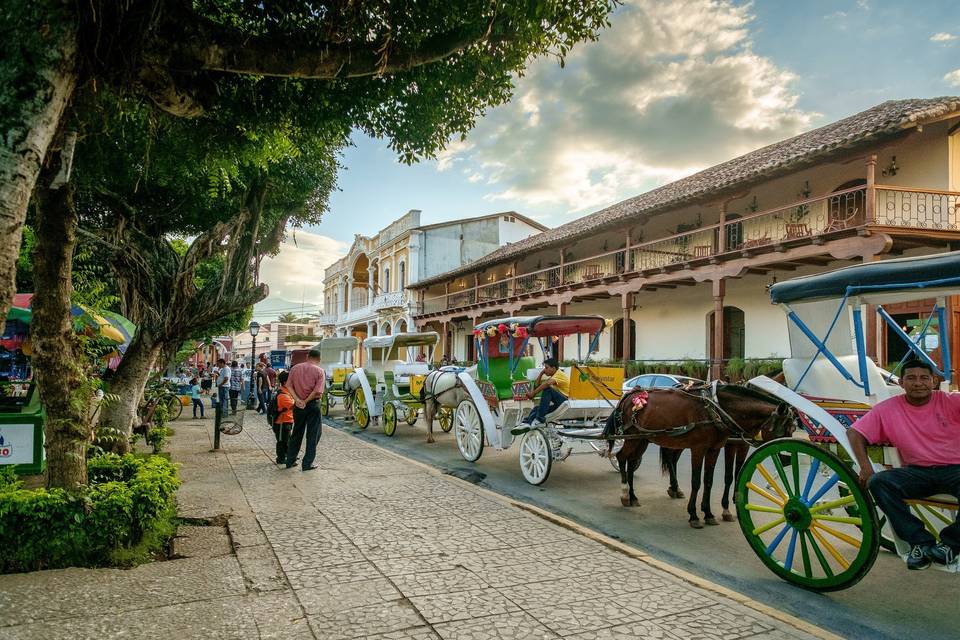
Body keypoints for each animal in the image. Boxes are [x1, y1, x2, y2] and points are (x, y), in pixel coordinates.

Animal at [616, 382, 796, 528]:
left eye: (792, 429)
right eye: (782, 430)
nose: (788, 460)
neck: (716, 409)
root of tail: (633, 394)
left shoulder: (716, 449)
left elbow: (710, 481)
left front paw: (709, 513)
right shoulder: (700, 448)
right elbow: (697, 481)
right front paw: (694, 515)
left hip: (643, 439)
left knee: (633, 462)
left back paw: (635, 496)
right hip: (633, 438)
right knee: (622, 458)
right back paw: (625, 494)